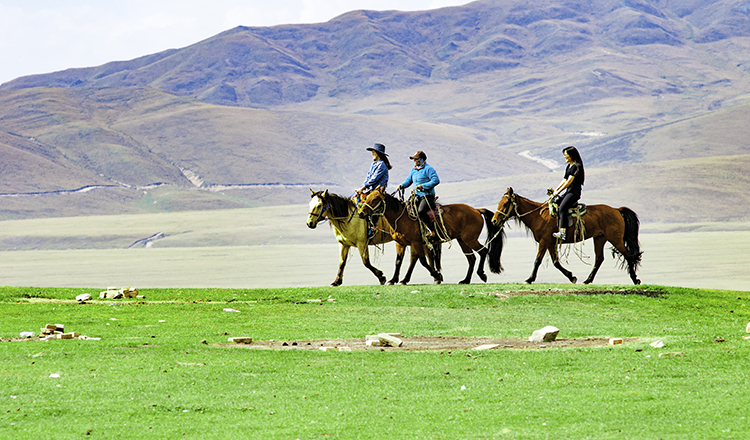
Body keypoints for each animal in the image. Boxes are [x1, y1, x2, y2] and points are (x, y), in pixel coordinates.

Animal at [360, 186, 506, 284]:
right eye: (366, 197)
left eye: (375, 199)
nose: (361, 213)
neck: (402, 218)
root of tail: (476, 210)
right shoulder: (400, 243)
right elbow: (398, 262)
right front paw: (393, 279)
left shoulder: (416, 242)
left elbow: (422, 261)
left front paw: (436, 275)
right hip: (462, 240)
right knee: (472, 258)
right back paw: (466, 280)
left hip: (470, 239)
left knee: (483, 251)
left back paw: (481, 275)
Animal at [490, 186, 644, 286]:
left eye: (505, 203)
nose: (494, 221)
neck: (538, 216)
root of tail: (617, 210)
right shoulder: (550, 243)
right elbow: (556, 262)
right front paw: (572, 277)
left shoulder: (544, 242)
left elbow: (537, 261)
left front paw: (530, 279)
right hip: (600, 238)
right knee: (599, 258)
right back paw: (588, 280)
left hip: (615, 239)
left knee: (628, 255)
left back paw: (635, 279)